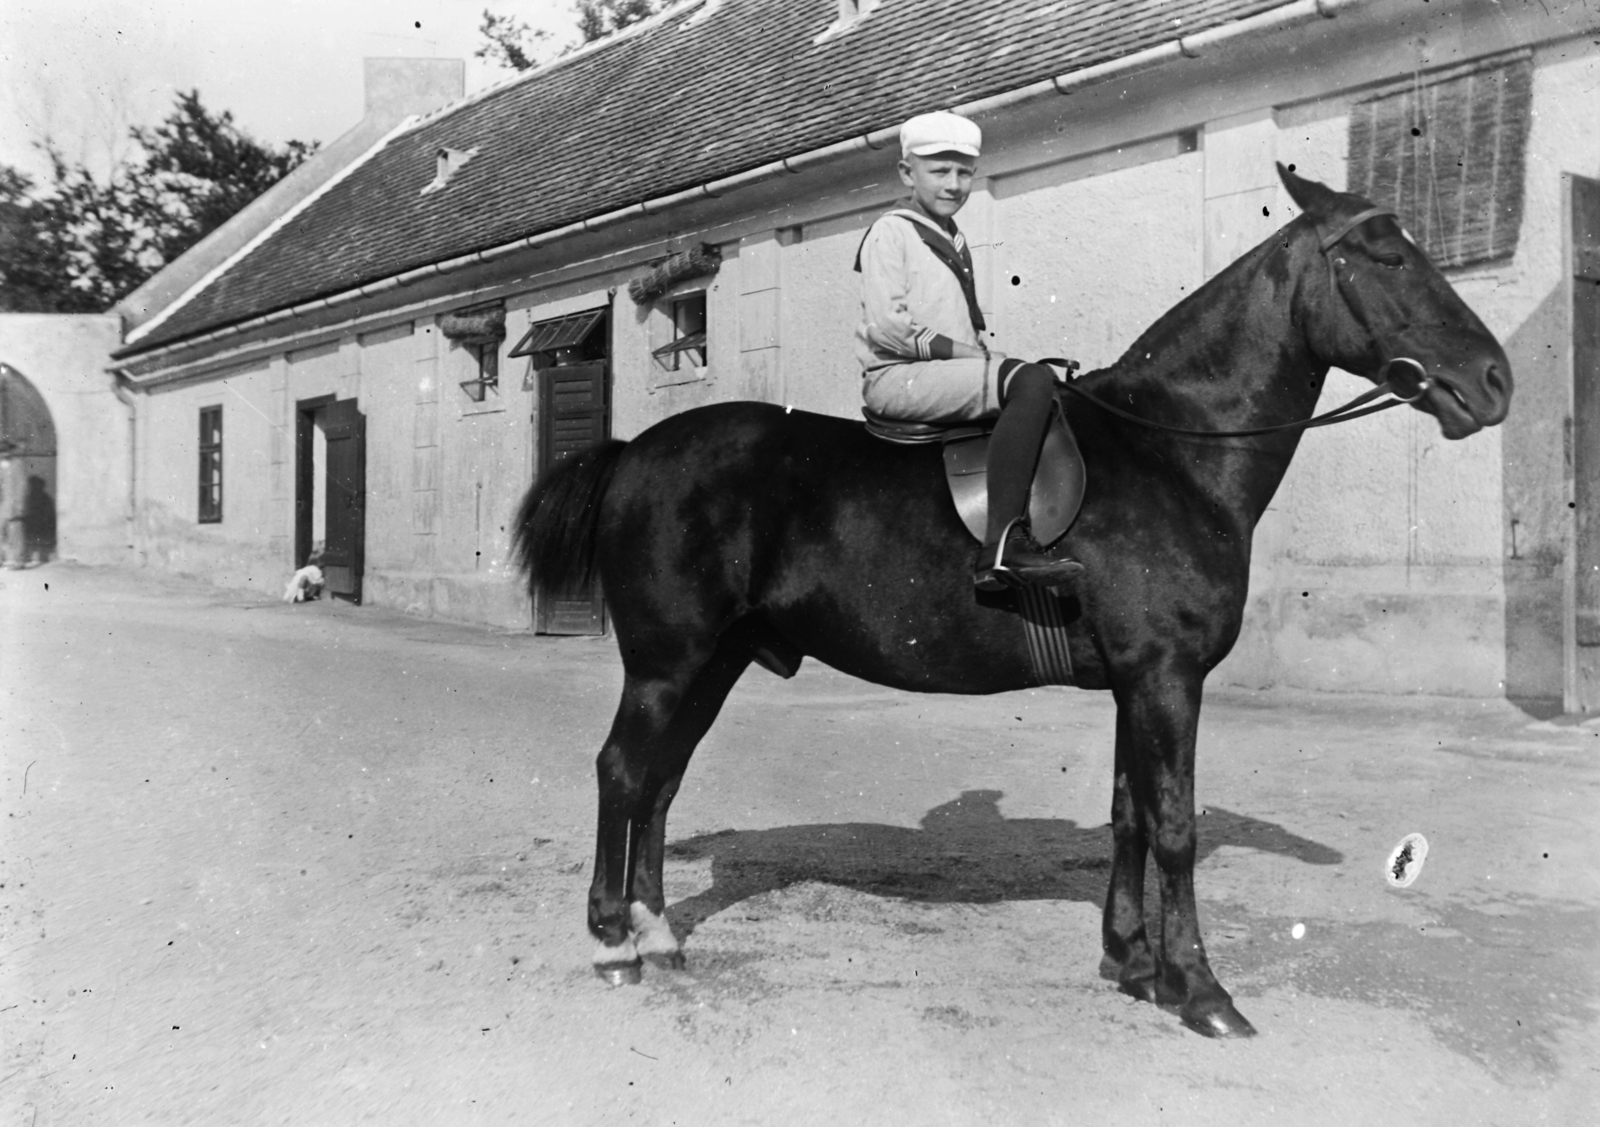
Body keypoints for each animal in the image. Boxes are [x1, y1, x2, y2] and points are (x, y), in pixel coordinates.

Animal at [515, 167, 1510, 1037]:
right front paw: (1199, 987)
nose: (1495, 380)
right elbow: (1175, 825)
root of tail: (636, 450)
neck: (1172, 450)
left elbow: (1130, 814)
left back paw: (656, 929)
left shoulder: (1139, 683)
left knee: (661, 779)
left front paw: (1133, 961)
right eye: (1386, 257)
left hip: (713, 663)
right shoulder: (1166, 678)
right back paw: (613, 938)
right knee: (623, 770)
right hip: (667, 662)